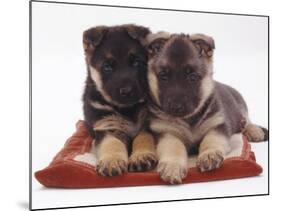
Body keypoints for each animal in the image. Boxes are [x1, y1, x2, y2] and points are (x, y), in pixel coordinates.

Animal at [82, 24, 158, 176]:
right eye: (107, 67)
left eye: (136, 63)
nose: (127, 91)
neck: (128, 109)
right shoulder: (106, 126)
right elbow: (111, 143)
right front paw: (112, 160)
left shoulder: (147, 124)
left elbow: (143, 138)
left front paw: (141, 156)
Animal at [145, 32, 266, 184]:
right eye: (163, 76)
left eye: (192, 77)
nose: (176, 107)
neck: (189, 120)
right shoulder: (166, 133)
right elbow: (173, 147)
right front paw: (172, 165)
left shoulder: (218, 126)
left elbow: (211, 139)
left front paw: (209, 154)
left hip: (240, 106)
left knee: (247, 119)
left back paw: (254, 130)